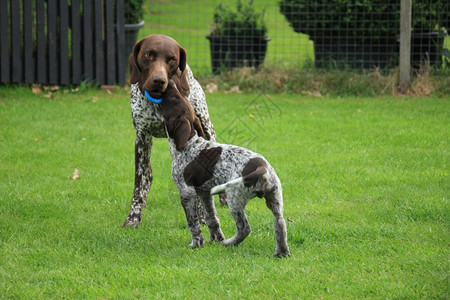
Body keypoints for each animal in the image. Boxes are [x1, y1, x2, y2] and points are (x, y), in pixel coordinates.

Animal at [123, 34, 218, 227]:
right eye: (149, 54)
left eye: (172, 59)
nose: (159, 81)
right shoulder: (142, 138)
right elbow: (140, 182)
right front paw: (133, 217)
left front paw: (201, 215)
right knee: (148, 176)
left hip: (207, 128)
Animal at [158, 80, 292, 258]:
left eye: (173, 99)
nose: (170, 82)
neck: (189, 143)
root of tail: (262, 167)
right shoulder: (205, 193)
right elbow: (211, 218)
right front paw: (213, 239)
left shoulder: (186, 193)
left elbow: (192, 222)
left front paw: (196, 244)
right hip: (275, 197)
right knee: (280, 224)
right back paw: (281, 252)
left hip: (235, 198)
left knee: (244, 228)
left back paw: (229, 243)